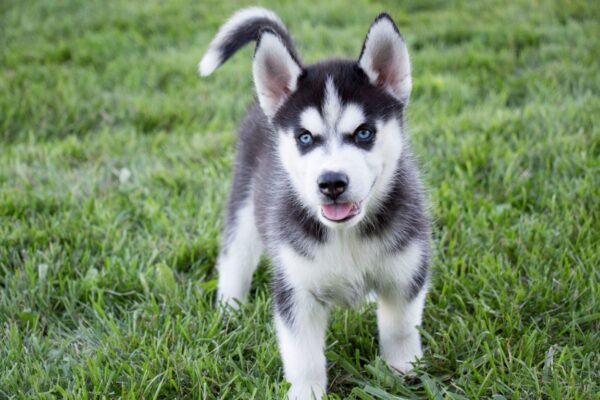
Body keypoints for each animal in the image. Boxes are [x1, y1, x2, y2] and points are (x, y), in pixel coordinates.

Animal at [199, 7, 428, 398]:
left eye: (364, 133)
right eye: (305, 138)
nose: (332, 183)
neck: (346, 235)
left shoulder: (406, 271)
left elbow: (399, 327)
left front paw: (403, 372)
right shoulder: (296, 288)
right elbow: (302, 354)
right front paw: (307, 391)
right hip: (244, 205)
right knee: (234, 258)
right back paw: (229, 310)